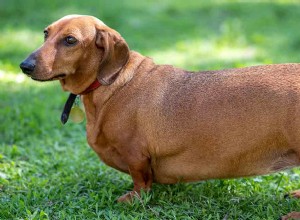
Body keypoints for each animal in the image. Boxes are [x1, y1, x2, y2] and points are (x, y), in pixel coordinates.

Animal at [20, 15, 300, 218]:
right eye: (46, 33)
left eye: (70, 40)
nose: (24, 66)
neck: (115, 84)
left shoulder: (136, 155)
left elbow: (140, 181)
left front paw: (133, 200)